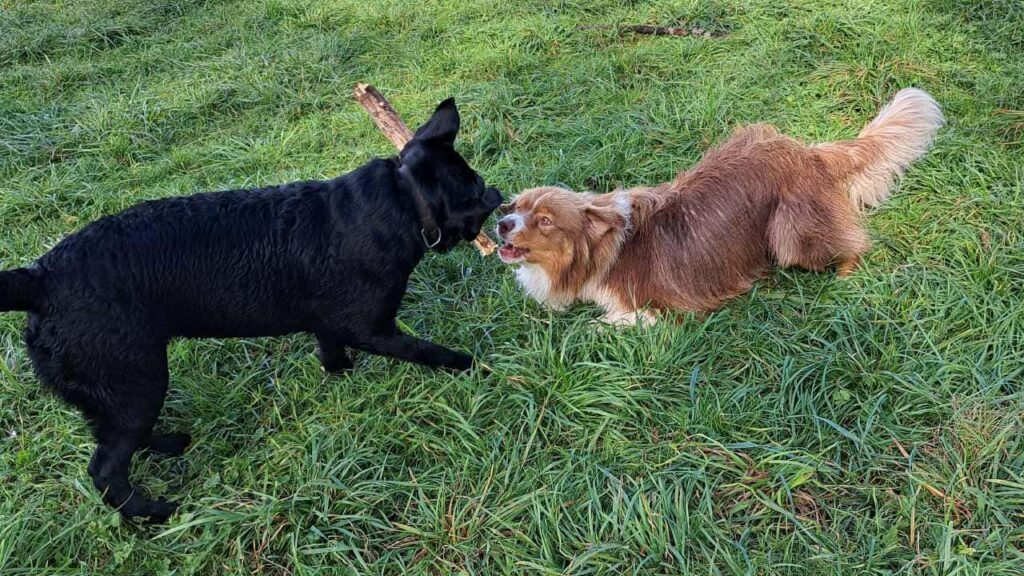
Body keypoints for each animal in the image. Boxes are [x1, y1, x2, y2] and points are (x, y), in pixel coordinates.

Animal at [0, 97, 499, 520]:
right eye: (474, 188)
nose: (496, 194)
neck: (402, 198)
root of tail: (40, 278)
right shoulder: (373, 327)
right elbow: (424, 350)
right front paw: (466, 363)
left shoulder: (331, 324)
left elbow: (331, 351)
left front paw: (342, 376)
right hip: (136, 378)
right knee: (105, 468)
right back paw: (152, 512)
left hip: (118, 389)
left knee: (119, 435)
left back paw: (169, 443)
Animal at [495, 88, 942, 323]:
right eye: (515, 205)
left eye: (545, 220)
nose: (501, 224)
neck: (601, 249)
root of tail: (805, 151)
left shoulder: (653, 311)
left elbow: (602, 324)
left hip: (791, 235)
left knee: (856, 244)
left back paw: (847, 274)